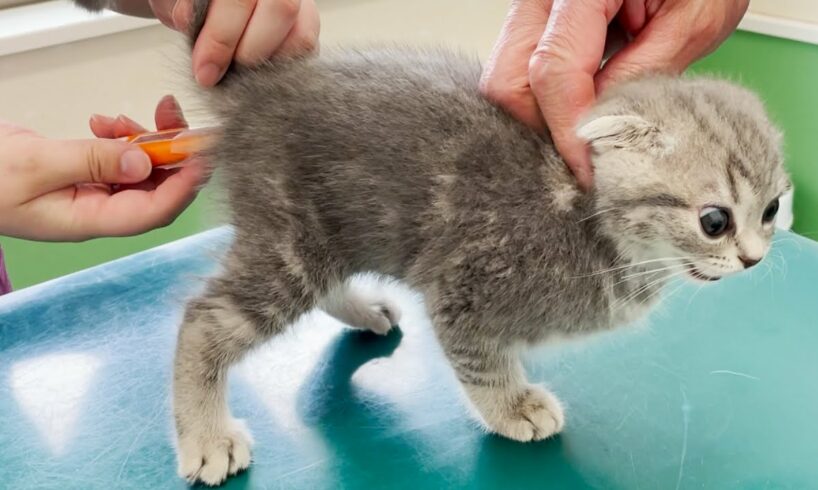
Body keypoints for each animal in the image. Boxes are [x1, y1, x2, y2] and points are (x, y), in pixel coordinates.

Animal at [75, 0, 792, 486]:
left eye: (772, 209)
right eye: (715, 221)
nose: (754, 258)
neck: (592, 225)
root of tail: (262, 89)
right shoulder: (465, 287)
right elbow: (481, 362)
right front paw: (513, 406)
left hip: (321, 231)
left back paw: (362, 310)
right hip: (292, 241)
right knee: (206, 318)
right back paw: (206, 436)